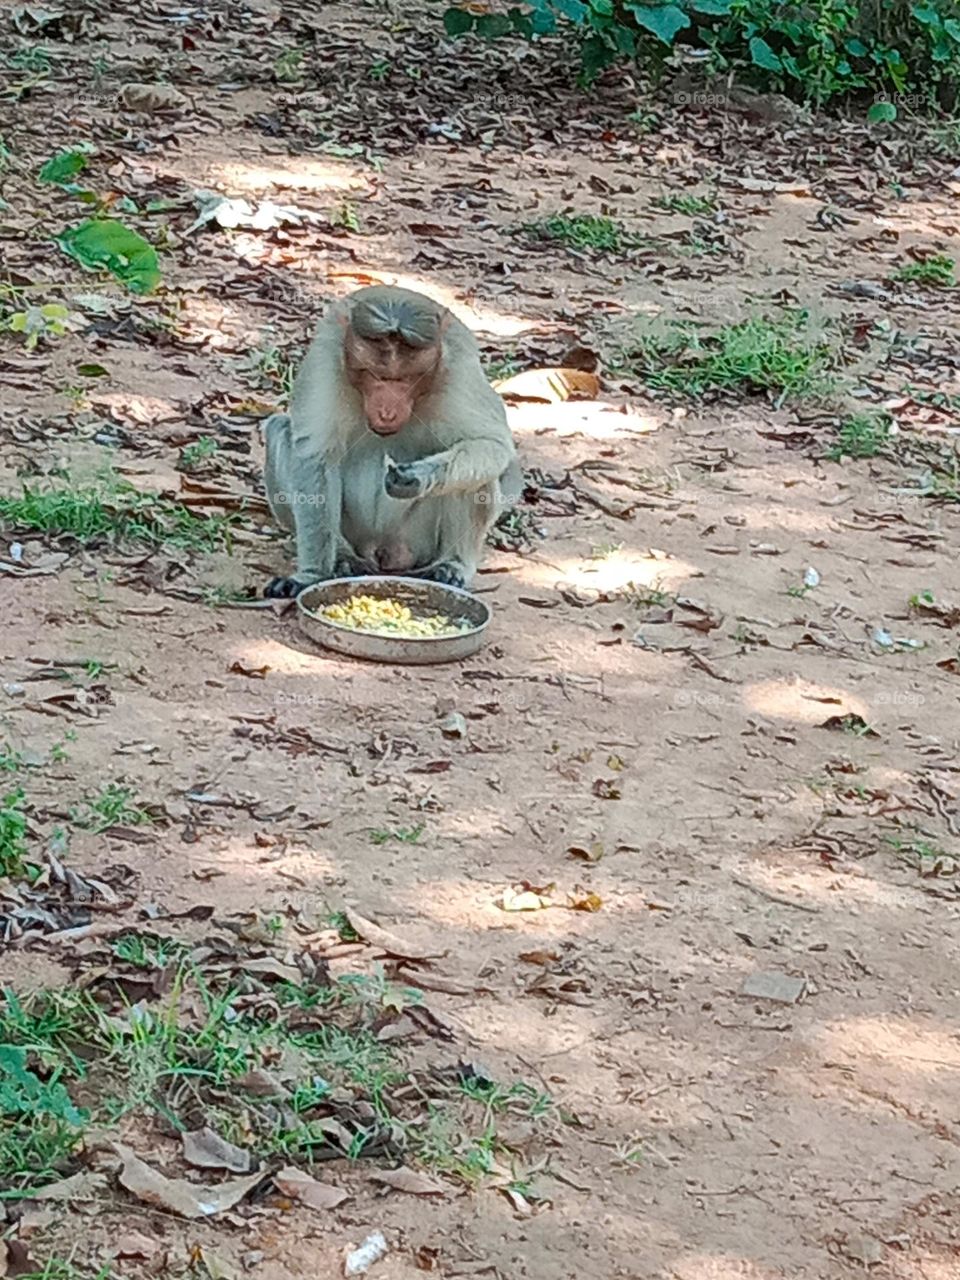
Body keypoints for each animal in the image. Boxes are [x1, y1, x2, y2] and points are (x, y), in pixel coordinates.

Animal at [259, 285, 522, 599]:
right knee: (282, 431)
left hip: (417, 539)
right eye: (375, 375)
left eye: (406, 379)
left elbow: (493, 445)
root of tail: (383, 550)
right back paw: (344, 557)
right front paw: (312, 575)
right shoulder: (324, 361)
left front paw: (421, 476)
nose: (387, 410)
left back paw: (452, 564)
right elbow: (314, 454)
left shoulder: (460, 372)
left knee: (476, 473)